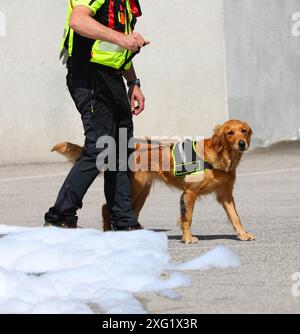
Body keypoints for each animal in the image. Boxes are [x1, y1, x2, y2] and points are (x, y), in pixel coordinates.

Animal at [52, 119, 255, 243]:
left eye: (243, 131)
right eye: (230, 133)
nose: (242, 143)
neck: (220, 156)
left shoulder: (225, 195)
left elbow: (235, 217)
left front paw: (243, 234)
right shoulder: (189, 193)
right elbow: (187, 218)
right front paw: (188, 238)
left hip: (142, 192)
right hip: (133, 188)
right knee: (106, 207)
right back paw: (110, 231)